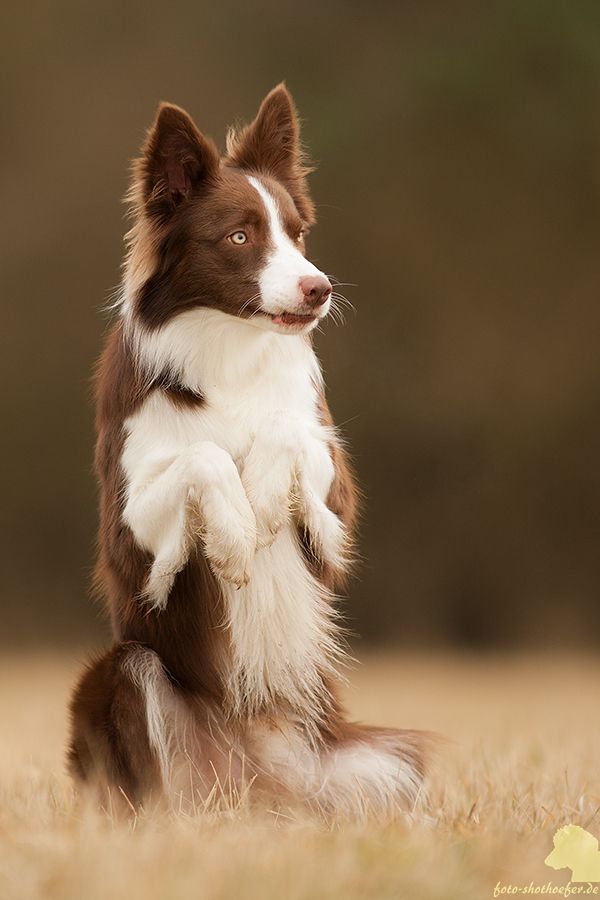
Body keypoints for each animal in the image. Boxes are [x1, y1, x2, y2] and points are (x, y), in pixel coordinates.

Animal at [68, 86, 428, 824]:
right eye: (240, 236)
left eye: (296, 232)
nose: (320, 288)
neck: (229, 349)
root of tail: (268, 779)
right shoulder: (128, 531)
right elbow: (202, 456)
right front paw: (235, 536)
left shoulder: (334, 500)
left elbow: (285, 432)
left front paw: (261, 504)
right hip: (125, 673)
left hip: (380, 755)